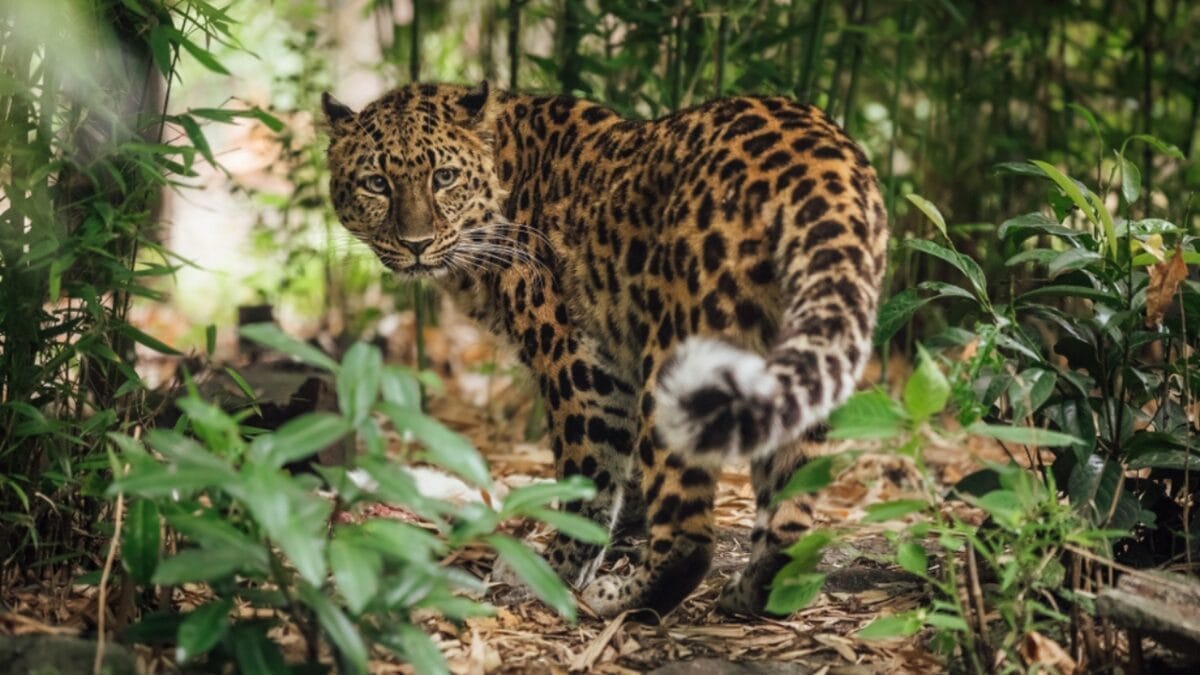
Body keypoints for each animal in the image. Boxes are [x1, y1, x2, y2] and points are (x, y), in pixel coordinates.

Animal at [322, 81, 888, 620]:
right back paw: (751, 595)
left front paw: (549, 570)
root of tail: (816, 166)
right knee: (789, 517)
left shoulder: (578, 361)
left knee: (689, 536)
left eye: (443, 177)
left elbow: (588, 477)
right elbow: (626, 474)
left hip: (679, 358)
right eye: (377, 183)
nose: (416, 244)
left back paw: (618, 600)